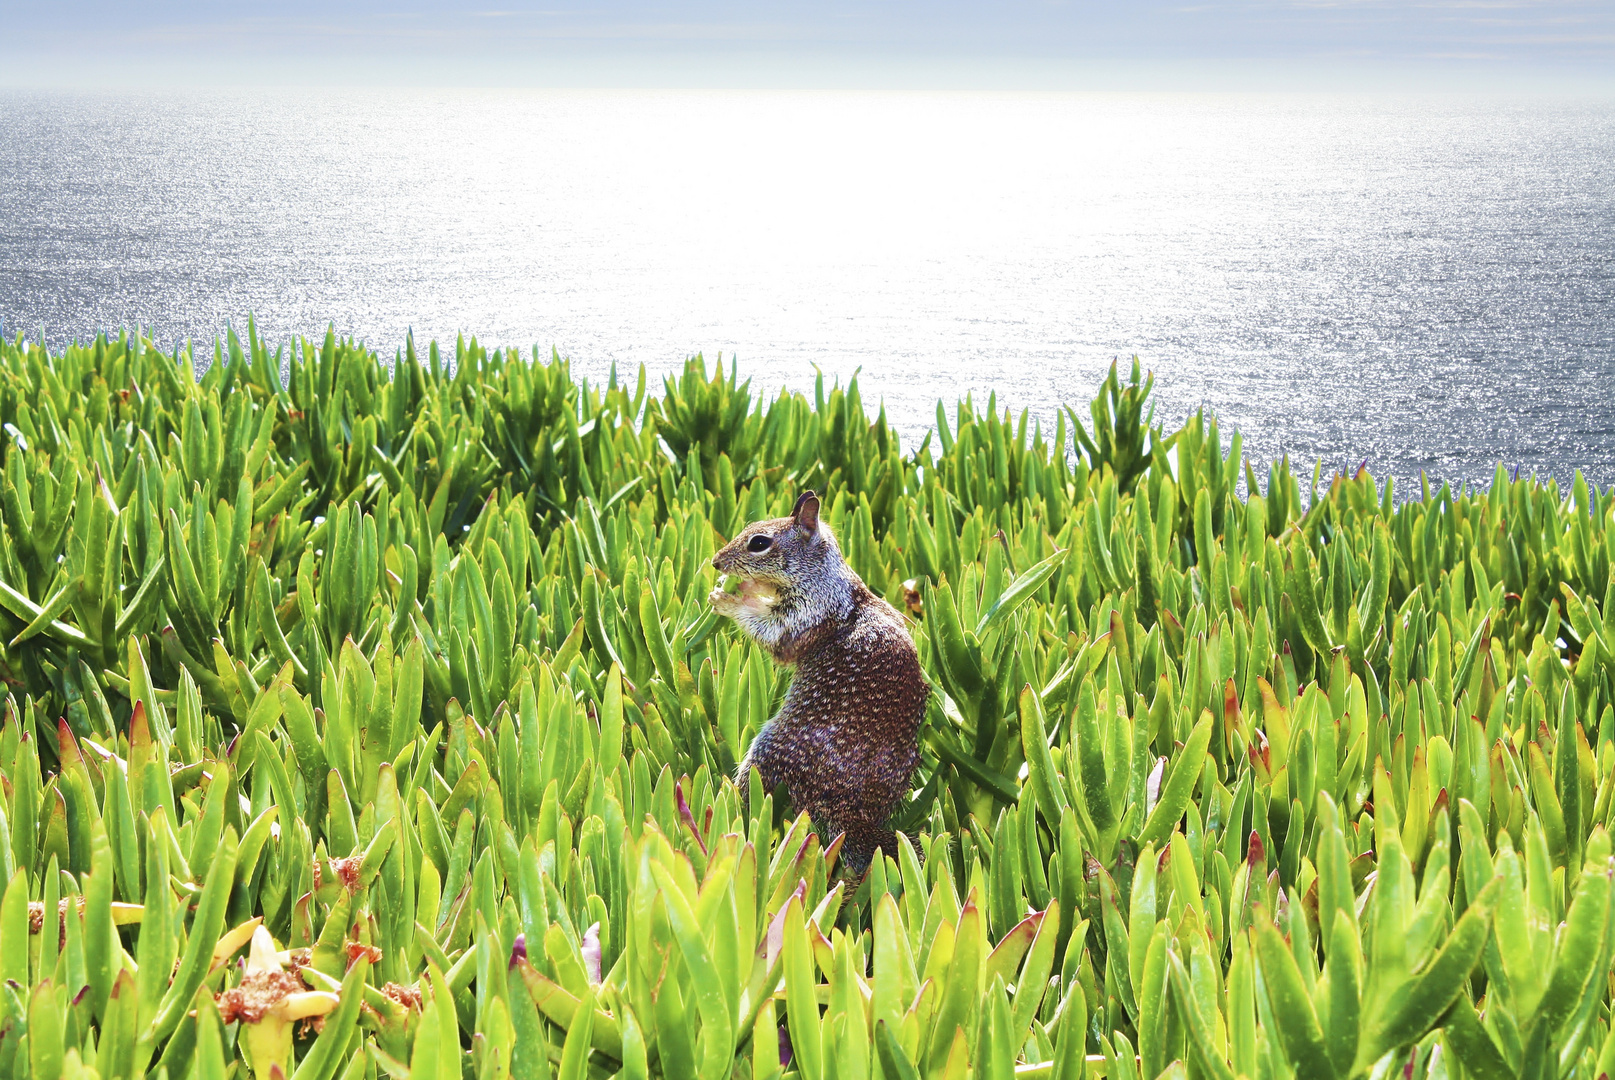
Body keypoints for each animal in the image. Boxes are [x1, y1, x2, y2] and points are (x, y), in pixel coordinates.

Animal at [710, 490, 930, 878]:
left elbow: (773, 636)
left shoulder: (808, 613)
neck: (829, 578)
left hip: (766, 750)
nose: (716, 563)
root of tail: (851, 812)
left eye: (759, 542)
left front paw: (731, 599)